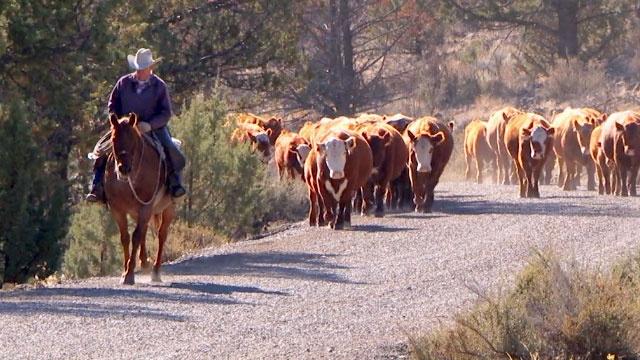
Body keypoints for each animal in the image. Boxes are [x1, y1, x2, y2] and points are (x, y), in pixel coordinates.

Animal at [105, 112, 176, 284]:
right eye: (113, 139)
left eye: (132, 139)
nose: (124, 169)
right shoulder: (118, 209)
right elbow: (125, 237)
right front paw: (124, 271)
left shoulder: (145, 207)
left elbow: (136, 236)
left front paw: (129, 274)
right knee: (144, 230)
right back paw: (144, 262)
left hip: (168, 208)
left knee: (161, 234)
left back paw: (155, 271)